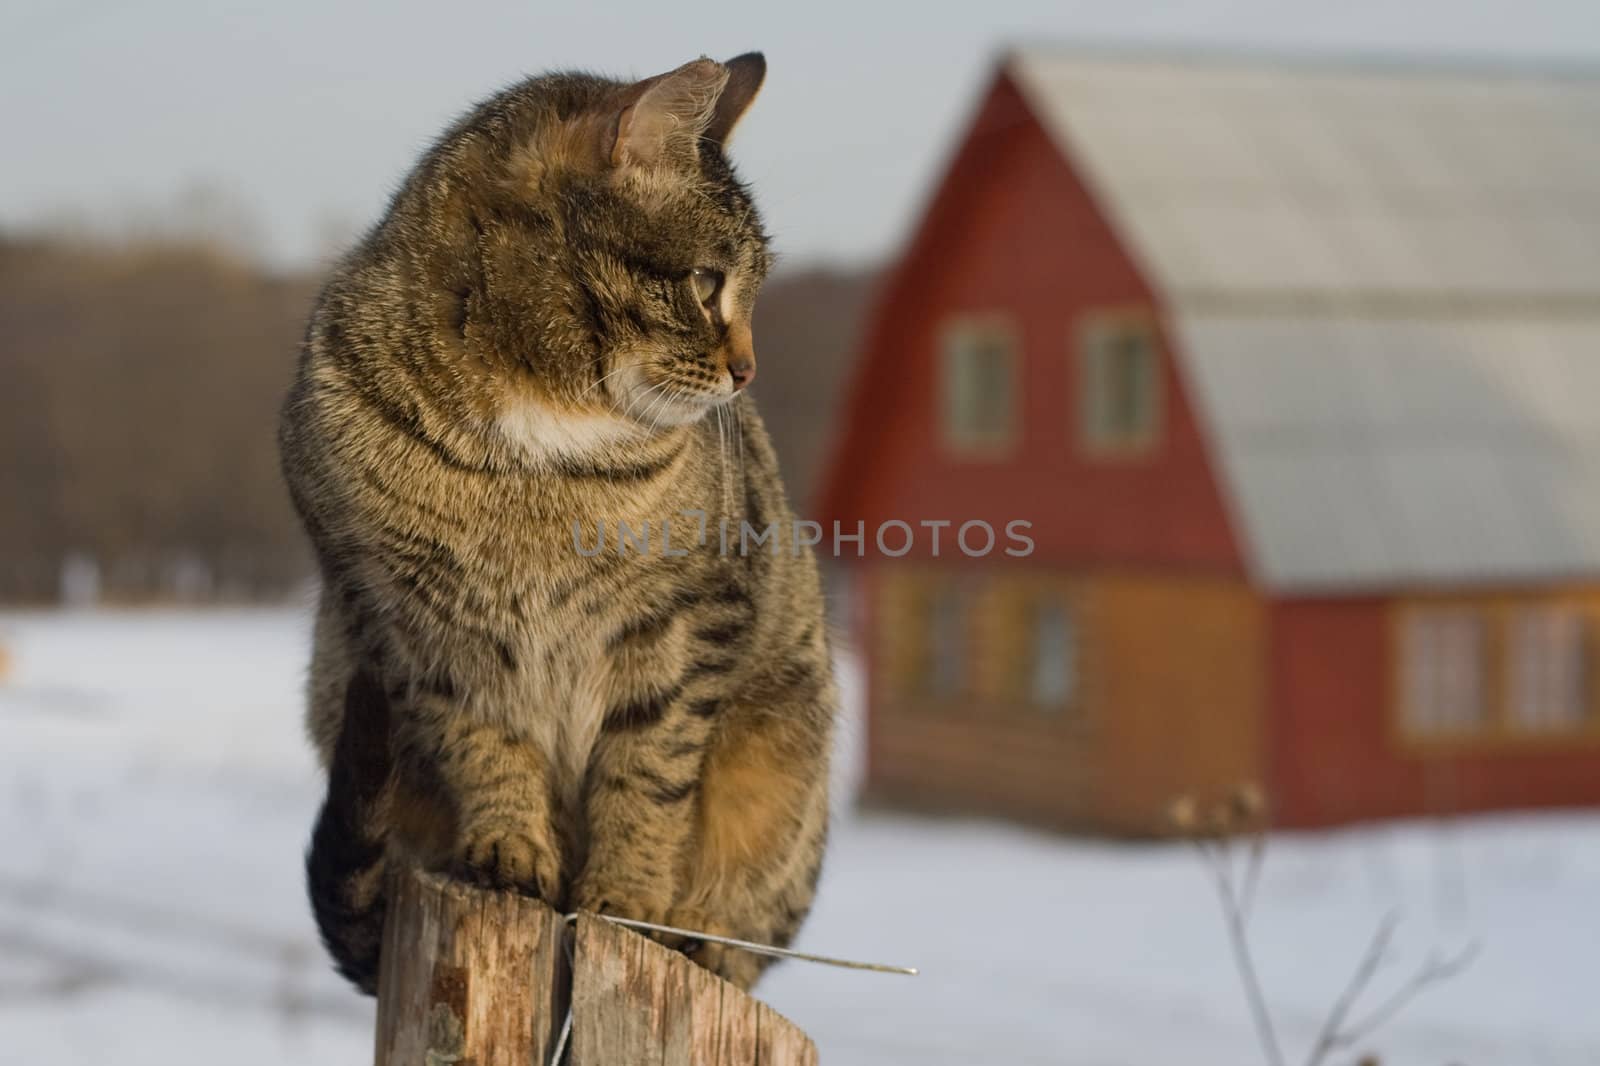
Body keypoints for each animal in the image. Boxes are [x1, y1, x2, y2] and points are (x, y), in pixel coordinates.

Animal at [278, 54, 838, 992]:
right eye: (704, 284)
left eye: (753, 288)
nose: (749, 370)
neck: (531, 451)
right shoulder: (406, 624)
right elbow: (482, 740)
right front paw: (510, 848)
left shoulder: (689, 620)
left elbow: (649, 770)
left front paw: (627, 893)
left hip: (788, 746)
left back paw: (699, 936)